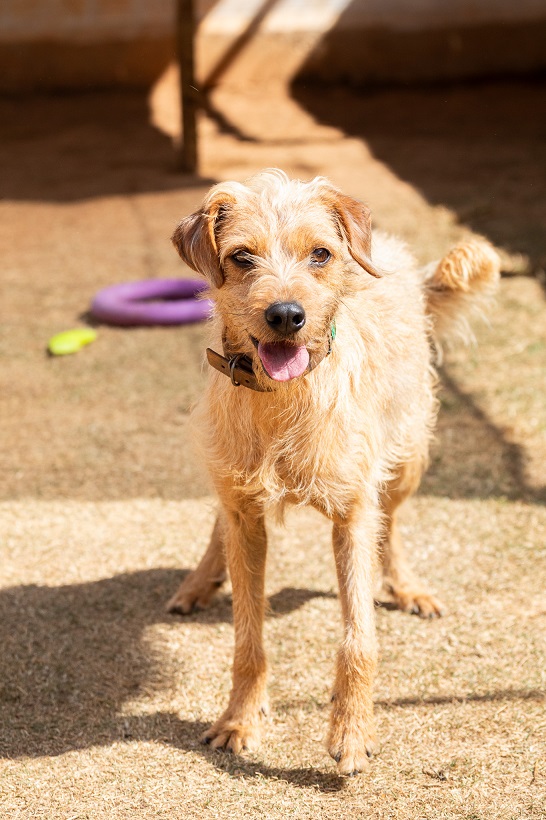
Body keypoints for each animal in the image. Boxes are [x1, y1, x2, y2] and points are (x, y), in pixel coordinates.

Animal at [166, 168, 498, 776]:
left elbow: (357, 640)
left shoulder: (352, 515)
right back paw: (199, 581)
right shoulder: (245, 510)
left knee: (392, 524)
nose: (286, 315)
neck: (283, 398)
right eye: (242, 257)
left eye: (320, 254)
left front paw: (351, 735)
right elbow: (247, 640)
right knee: (219, 521)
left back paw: (407, 586)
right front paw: (239, 720)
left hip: (408, 455)